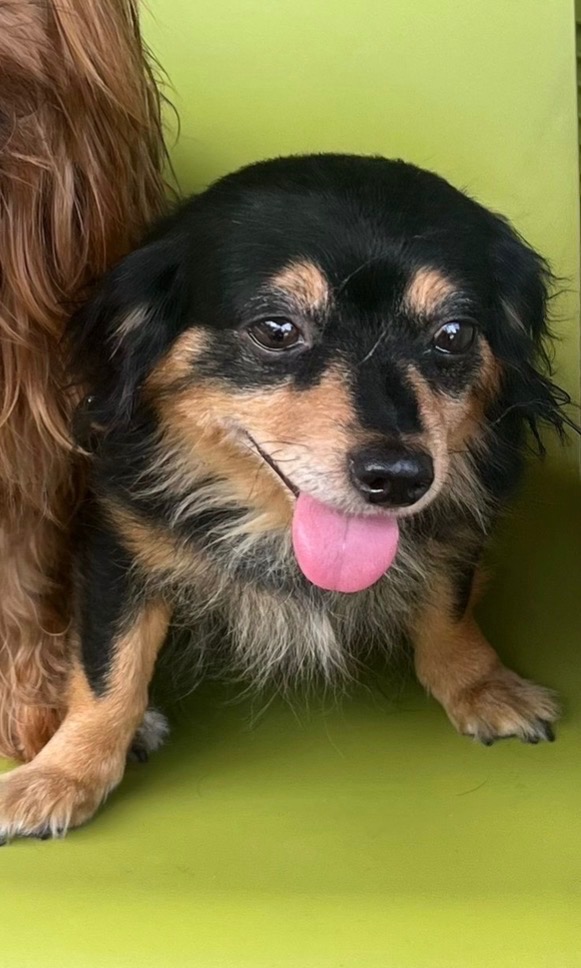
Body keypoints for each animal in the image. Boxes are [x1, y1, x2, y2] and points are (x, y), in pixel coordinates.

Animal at [0, 152, 572, 841]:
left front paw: (479, 684)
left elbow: (448, 608)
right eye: (277, 329)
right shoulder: (119, 545)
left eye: (454, 334)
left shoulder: (459, 529)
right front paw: (64, 773)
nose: (400, 476)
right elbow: (110, 668)